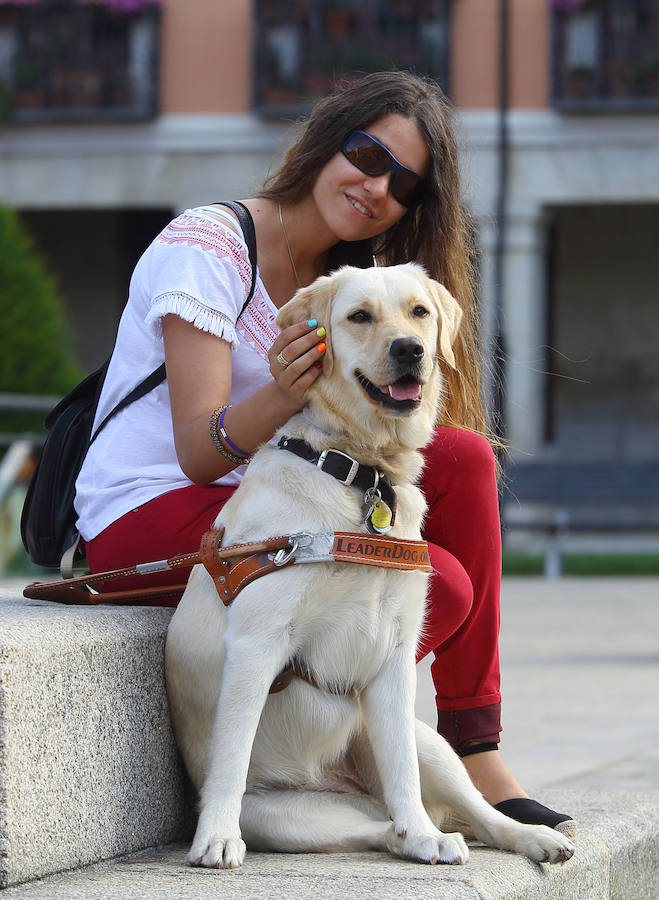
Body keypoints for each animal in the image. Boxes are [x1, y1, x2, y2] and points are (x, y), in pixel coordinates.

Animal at [166, 264, 576, 868]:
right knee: (379, 830)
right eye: (359, 316)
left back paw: (511, 834)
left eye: (419, 312)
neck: (360, 470)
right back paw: (414, 835)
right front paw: (215, 837)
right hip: (286, 820)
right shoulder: (256, 643)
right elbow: (232, 755)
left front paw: (427, 830)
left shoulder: (394, 650)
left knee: (468, 806)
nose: (409, 349)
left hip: (430, 743)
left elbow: (400, 766)